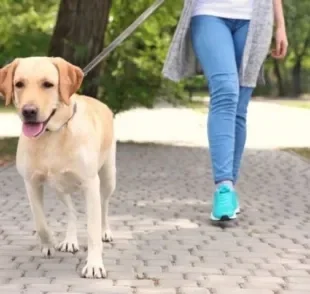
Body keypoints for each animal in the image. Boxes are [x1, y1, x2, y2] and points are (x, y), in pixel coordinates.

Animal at [0, 56, 116, 278]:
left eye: (48, 84)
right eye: (19, 84)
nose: (28, 111)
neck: (52, 135)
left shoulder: (90, 184)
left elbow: (92, 229)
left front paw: (94, 265)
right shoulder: (31, 183)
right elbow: (40, 221)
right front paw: (48, 242)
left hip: (107, 178)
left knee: (104, 206)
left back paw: (106, 231)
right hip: (59, 187)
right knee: (72, 210)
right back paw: (70, 240)